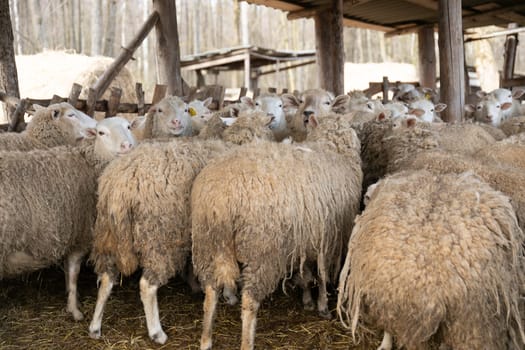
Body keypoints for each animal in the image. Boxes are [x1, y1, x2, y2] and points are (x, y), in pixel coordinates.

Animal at [0, 117, 135, 320]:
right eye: (101, 133)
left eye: (128, 126)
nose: (127, 145)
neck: (89, 162)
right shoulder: (80, 235)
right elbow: (73, 273)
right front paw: (74, 309)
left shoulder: (70, 234)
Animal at [88, 113, 274, 344]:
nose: (271, 117)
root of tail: (119, 187)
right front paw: (230, 294)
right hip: (159, 236)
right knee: (147, 285)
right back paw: (157, 332)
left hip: (108, 235)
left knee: (106, 278)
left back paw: (95, 326)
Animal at [190, 115, 362, 350]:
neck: (332, 148)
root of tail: (221, 199)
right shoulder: (328, 240)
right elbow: (322, 274)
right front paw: (322, 305)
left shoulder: (302, 237)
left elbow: (304, 272)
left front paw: (307, 299)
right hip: (261, 251)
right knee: (249, 301)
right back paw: (247, 342)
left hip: (206, 242)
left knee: (210, 293)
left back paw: (206, 339)